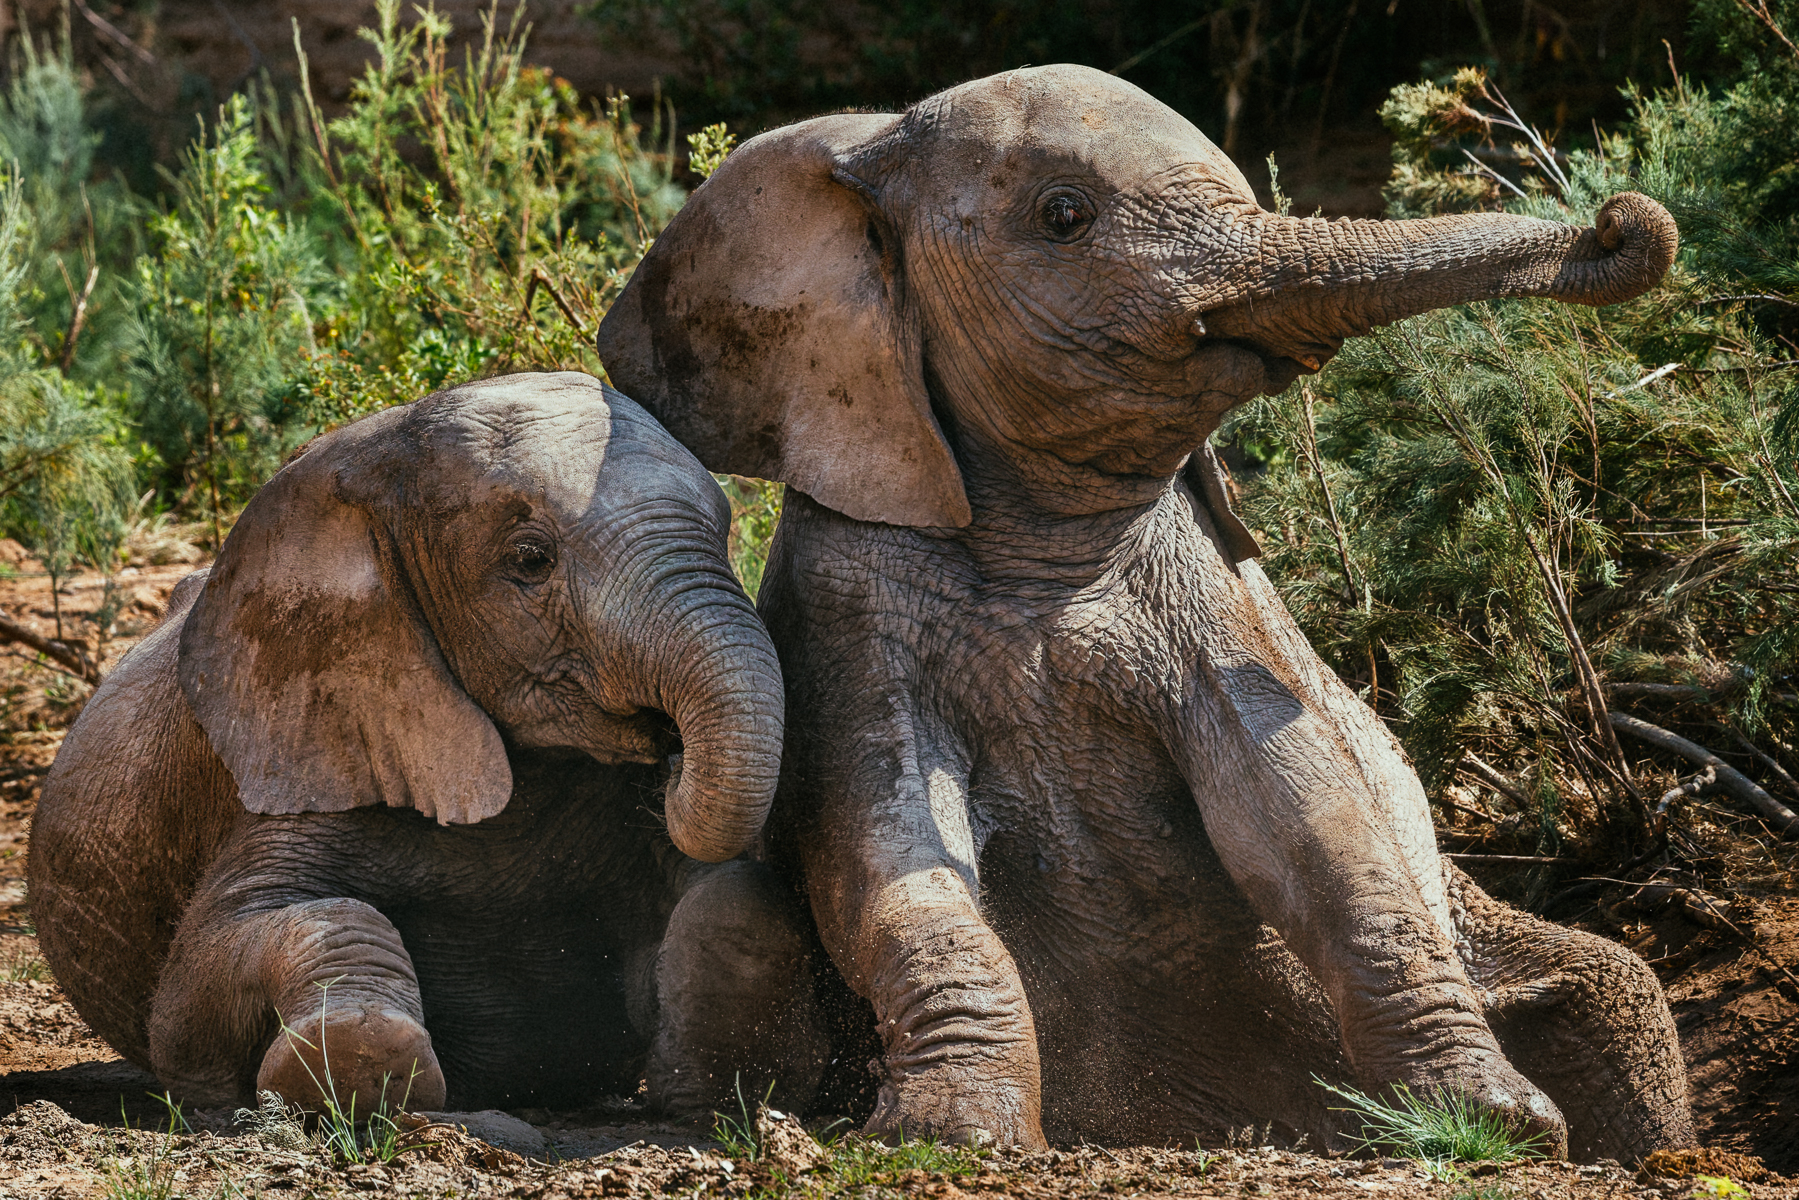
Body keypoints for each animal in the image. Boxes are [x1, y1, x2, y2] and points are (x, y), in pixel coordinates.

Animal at [27, 371, 826, 1116]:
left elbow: (733, 891)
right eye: (530, 559)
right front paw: (354, 1068)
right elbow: (196, 990)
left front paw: (720, 1091)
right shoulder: (302, 749)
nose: (672, 751)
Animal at [594, 65, 1693, 1159]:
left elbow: (1304, 811)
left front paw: (1493, 1123)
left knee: (1619, 983)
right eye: (1063, 216)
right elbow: (883, 840)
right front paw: (956, 1136)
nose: (1618, 217)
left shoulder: (1216, 602)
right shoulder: (845, 600)